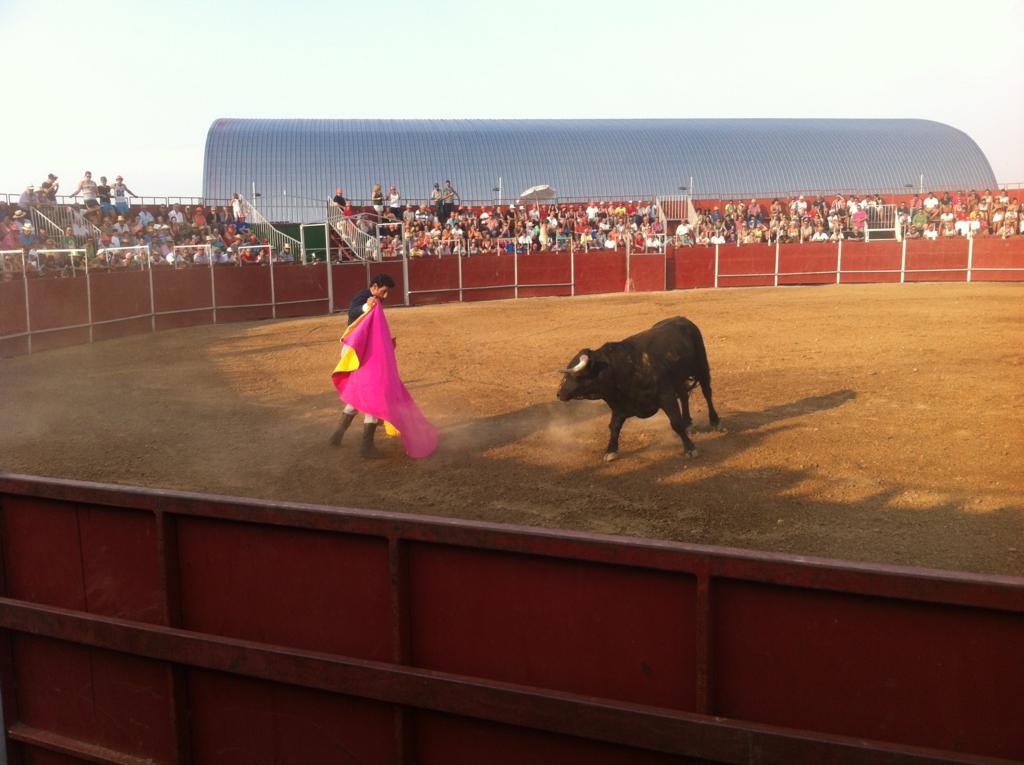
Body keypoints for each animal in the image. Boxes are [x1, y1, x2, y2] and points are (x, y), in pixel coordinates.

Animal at [556, 316, 720, 461]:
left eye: (577, 376)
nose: (559, 393)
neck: (620, 368)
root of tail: (684, 320)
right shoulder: (619, 406)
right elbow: (614, 426)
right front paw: (610, 450)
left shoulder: (666, 397)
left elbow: (675, 422)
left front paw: (690, 448)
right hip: (679, 378)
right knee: (685, 395)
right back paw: (688, 423)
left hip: (702, 367)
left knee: (707, 393)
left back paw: (714, 421)